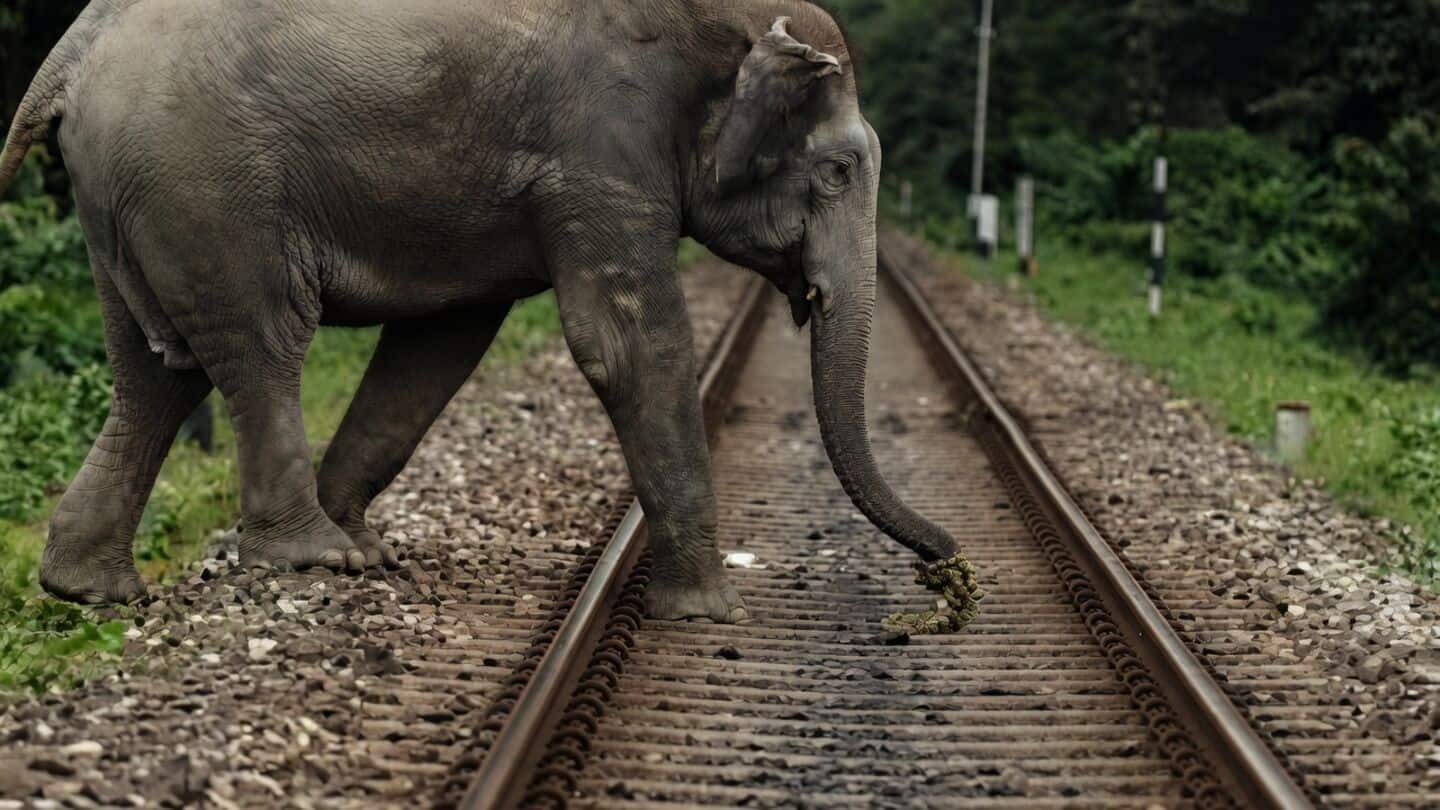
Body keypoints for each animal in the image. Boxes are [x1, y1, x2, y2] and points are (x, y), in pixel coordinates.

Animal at [0, 0, 959, 622]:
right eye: (836, 171)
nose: (947, 565)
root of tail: (75, 47)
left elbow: (445, 339)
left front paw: (372, 551)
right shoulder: (600, 146)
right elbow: (626, 343)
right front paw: (711, 610)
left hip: (132, 192)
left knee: (157, 373)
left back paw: (93, 588)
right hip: (205, 183)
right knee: (260, 342)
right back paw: (307, 557)